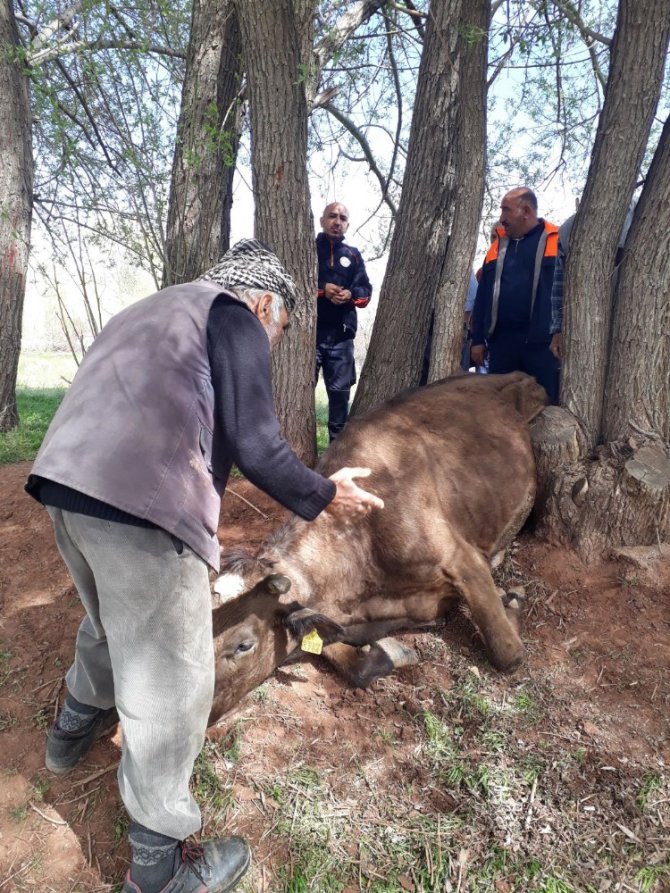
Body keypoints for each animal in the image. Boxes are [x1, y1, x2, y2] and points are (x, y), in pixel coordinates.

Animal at [211, 372, 552, 724]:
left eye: (243, 645)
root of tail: (514, 375)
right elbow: (346, 660)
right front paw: (387, 652)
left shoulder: (463, 561)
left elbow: (508, 654)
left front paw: (512, 600)